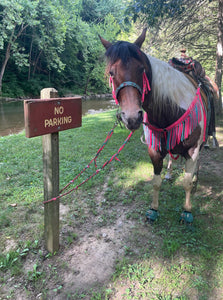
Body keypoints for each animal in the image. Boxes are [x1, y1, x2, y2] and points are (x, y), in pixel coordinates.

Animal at [99, 28, 216, 225]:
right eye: (112, 73)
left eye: (141, 69)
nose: (132, 117)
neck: (171, 109)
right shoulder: (154, 150)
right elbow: (156, 181)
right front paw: (153, 209)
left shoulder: (192, 149)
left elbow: (186, 182)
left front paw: (187, 212)